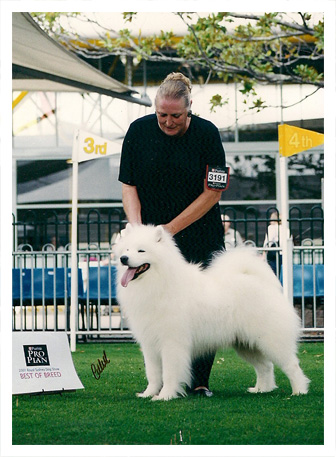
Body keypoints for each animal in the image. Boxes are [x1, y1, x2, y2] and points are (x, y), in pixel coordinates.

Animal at [115, 223, 310, 400]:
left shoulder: (172, 343)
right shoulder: (150, 344)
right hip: (246, 344)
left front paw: (165, 396)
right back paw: (262, 389)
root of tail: (261, 281)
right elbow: (153, 374)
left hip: (271, 341)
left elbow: (169, 374)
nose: (123, 258)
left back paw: (299, 391)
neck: (159, 282)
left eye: (141, 251)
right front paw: (148, 394)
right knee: (265, 367)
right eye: (127, 249)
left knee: (292, 365)